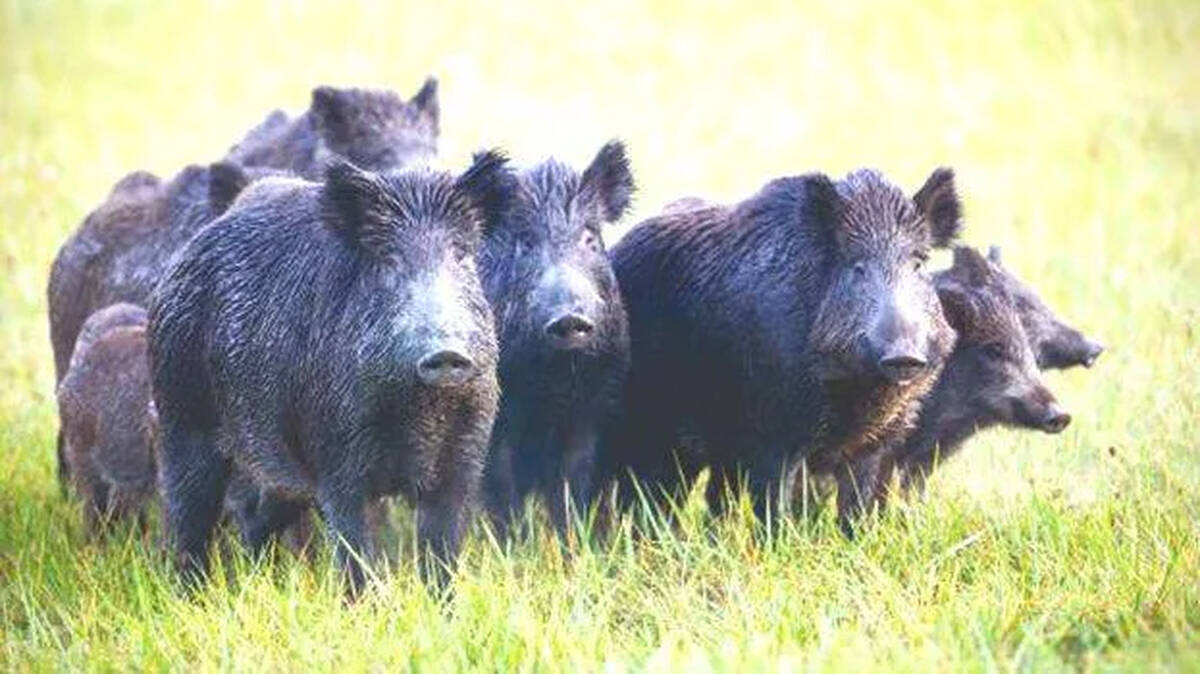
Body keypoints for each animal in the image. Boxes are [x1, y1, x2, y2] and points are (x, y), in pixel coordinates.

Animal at [148, 153, 512, 592]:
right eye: (388, 262)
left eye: (461, 256)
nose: (446, 352)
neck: (419, 408)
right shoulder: (336, 458)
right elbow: (356, 555)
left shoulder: (463, 458)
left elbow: (440, 556)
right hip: (181, 417)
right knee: (187, 519)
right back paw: (191, 594)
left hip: (280, 469)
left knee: (255, 516)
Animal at [479, 141, 633, 537]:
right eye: (525, 242)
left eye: (590, 238)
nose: (569, 318)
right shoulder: (496, 426)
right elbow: (502, 492)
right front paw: (516, 547)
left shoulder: (592, 412)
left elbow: (573, 489)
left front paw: (576, 545)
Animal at [603, 167, 963, 521]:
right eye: (856, 266)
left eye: (918, 264)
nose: (904, 355)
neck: (857, 386)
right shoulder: (772, 435)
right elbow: (775, 508)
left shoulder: (873, 443)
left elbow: (857, 510)